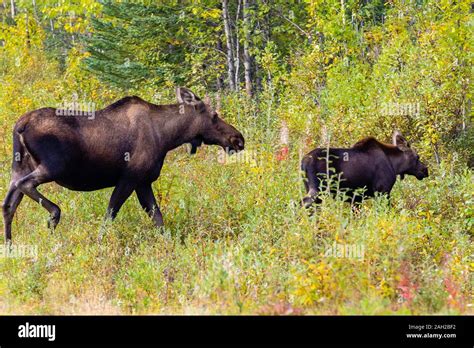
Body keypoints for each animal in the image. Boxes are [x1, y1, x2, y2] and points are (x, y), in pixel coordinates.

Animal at [3, 88, 246, 243]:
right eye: (214, 115)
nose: (238, 139)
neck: (168, 137)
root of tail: (20, 125)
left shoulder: (143, 182)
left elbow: (158, 219)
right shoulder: (130, 178)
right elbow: (110, 214)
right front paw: (100, 243)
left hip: (19, 167)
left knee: (8, 204)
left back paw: (9, 246)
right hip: (53, 166)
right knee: (26, 186)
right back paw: (53, 216)